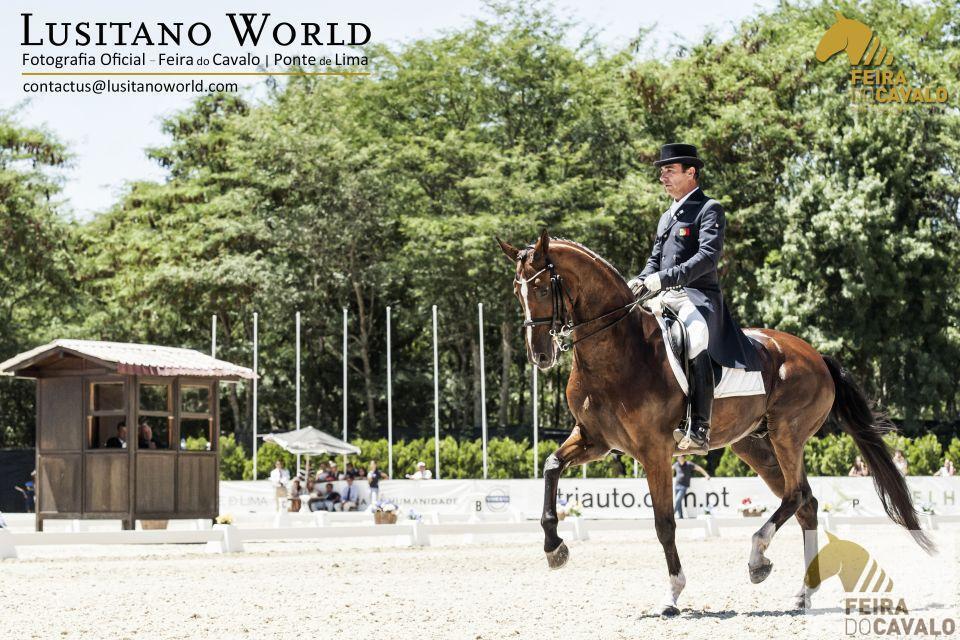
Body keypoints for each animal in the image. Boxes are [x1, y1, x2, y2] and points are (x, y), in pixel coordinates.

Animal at [496, 230, 934, 615]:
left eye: (541, 289)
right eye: (518, 292)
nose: (540, 355)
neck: (617, 348)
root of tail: (815, 355)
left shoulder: (654, 451)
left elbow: (664, 523)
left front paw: (672, 596)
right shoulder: (594, 440)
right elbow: (551, 467)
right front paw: (554, 547)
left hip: (786, 434)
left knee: (794, 496)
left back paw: (758, 558)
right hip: (753, 444)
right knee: (805, 503)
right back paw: (802, 593)